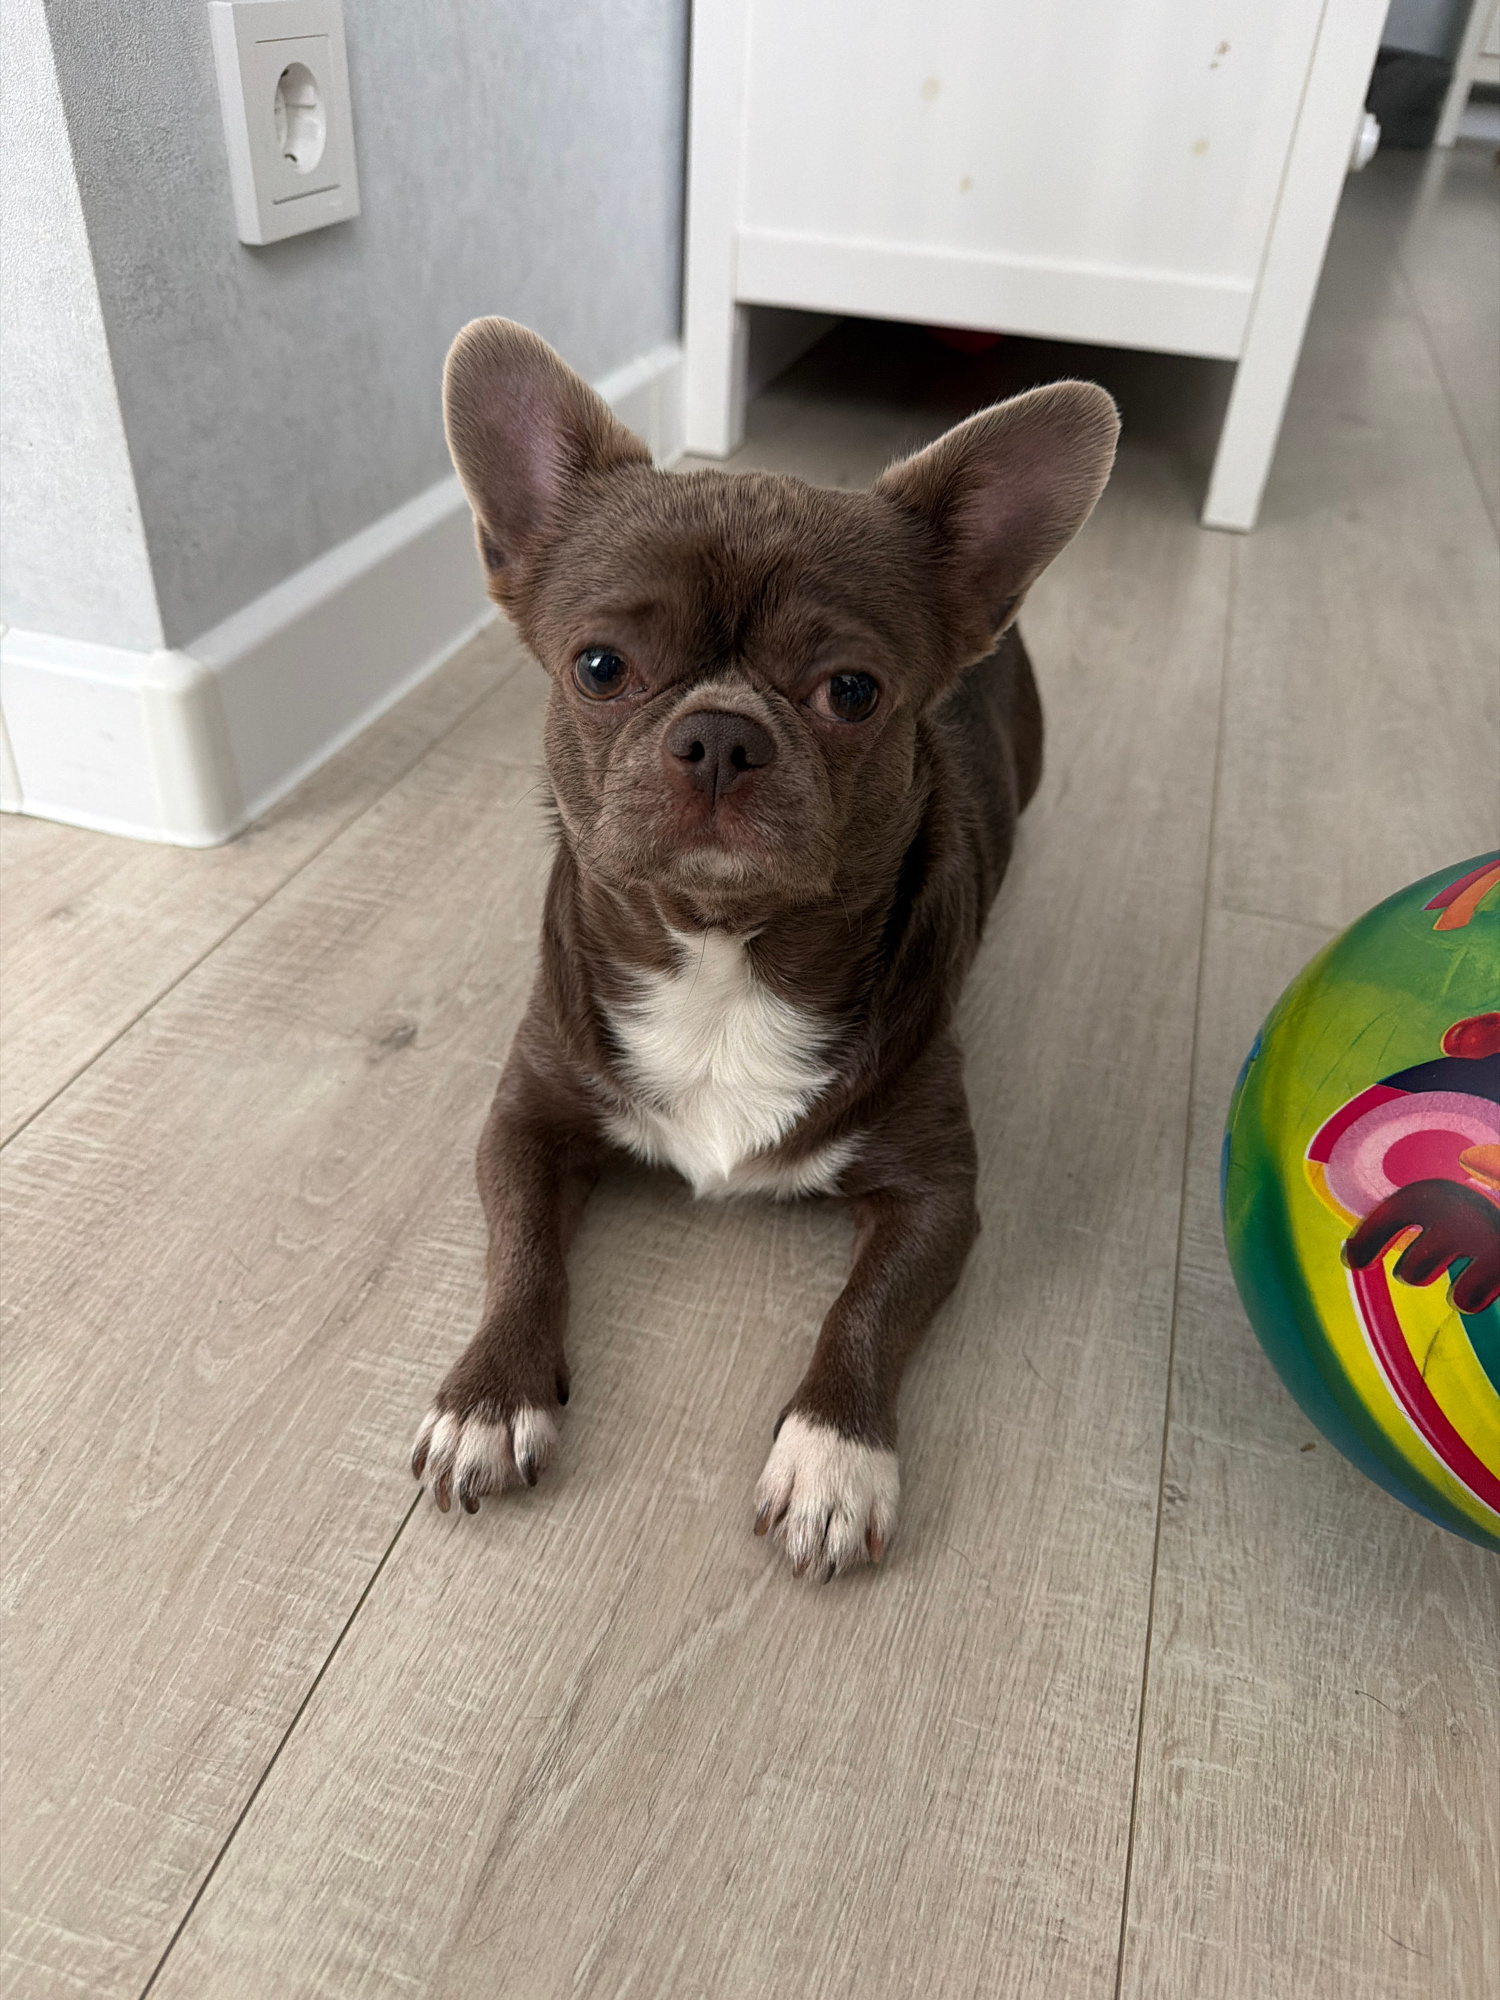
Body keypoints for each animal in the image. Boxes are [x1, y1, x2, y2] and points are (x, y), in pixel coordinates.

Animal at [411, 319, 1119, 1579]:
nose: (720, 733)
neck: (723, 959)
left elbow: (866, 1310)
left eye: (853, 691)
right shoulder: (525, 1119)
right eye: (601, 667)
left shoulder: (937, 1196)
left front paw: (835, 1456)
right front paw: (489, 1396)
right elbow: (522, 1250)